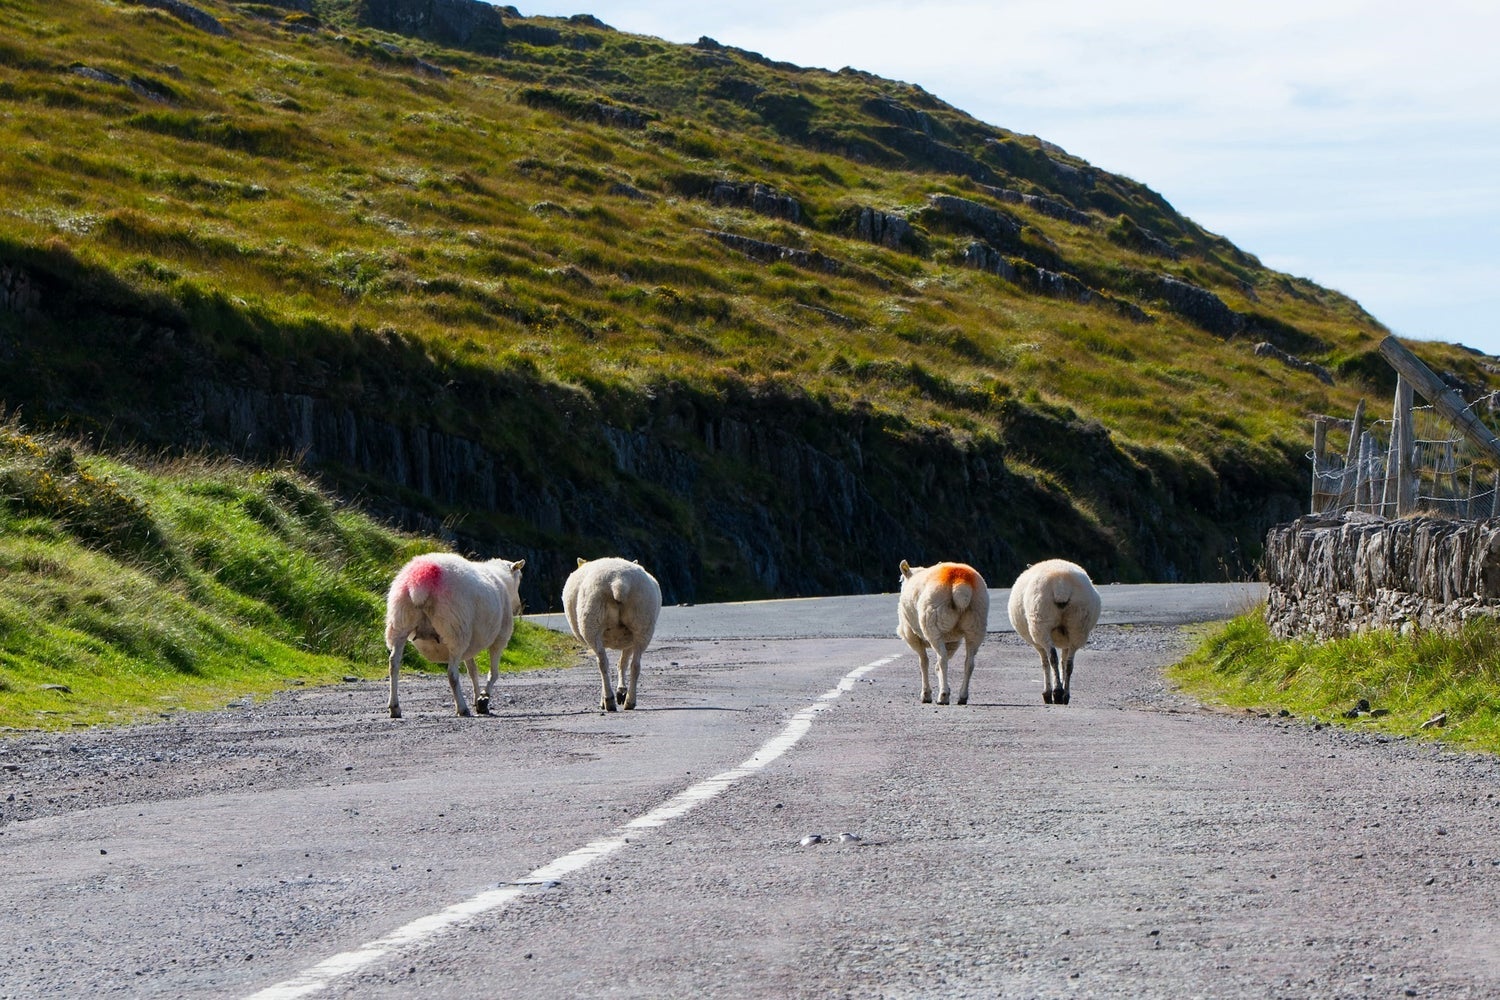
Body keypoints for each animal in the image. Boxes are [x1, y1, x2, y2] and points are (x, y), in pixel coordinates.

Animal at [383, 553, 525, 719]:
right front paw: (483, 700)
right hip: (456, 630)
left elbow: (473, 671)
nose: (518, 608)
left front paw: (477, 699)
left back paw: (395, 707)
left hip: (399, 622)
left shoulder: (470, 644)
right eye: (520, 577)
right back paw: (462, 708)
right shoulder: (500, 637)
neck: (502, 580)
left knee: (394, 664)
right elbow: (494, 673)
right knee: (452, 673)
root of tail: (419, 582)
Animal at [562, 556, 661, 711]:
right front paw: (621, 691)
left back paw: (609, 701)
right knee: (635, 665)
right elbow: (623, 663)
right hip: (643, 623)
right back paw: (629, 701)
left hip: (592, 622)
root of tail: (619, 582)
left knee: (602, 663)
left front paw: (606, 698)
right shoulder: (629, 640)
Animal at [896, 560, 990, 705]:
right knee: (969, 663)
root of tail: (960, 584)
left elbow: (924, 662)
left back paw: (943, 696)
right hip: (977, 623)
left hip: (933, 624)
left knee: (942, 660)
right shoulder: (952, 641)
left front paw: (926, 694)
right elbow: (934, 666)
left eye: (900, 580)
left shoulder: (911, 636)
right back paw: (962, 696)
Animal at [1007, 559, 1101, 706]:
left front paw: (1047, 693)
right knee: (1069, 664)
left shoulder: (1038, 644)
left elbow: (1045, 663)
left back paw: (1056, 693)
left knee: (1052, 658)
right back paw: (1065, 695)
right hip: (1078, 625)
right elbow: (1064, 663)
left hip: (1040, 623)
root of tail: (1061, 585)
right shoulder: (1066, 643)